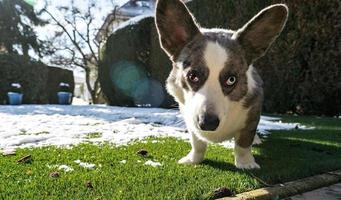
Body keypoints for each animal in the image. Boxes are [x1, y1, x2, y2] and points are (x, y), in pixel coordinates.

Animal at [155, 0, 286, 169]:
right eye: (192, 76)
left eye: (231, 79)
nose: (208, 123)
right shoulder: (189, 116)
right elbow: (197, 142)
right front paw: (193, 159)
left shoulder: (252, 114)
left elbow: (243, 143)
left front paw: (246, 163)